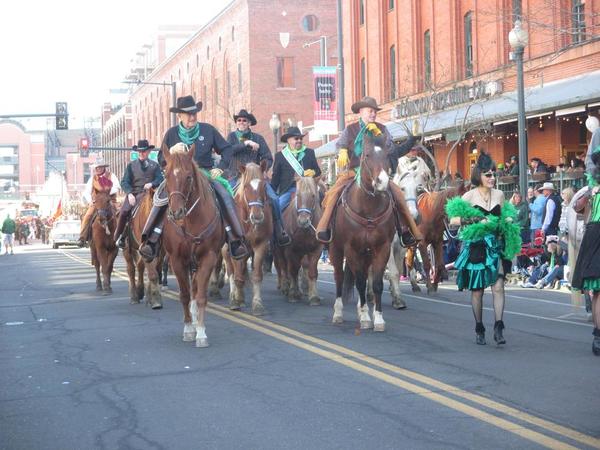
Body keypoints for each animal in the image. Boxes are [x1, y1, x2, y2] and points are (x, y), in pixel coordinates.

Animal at [161, 143, 224, 348]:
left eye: (188, 176)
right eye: (165, 175)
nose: (176, 212)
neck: (191, 221)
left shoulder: (208, 257)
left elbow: (201, 296)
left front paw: (201, 332)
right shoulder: (176, 260)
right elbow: (184, 295)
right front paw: (188, 329)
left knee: (196, 289)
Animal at [224, 161, 274, 312]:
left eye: (264, 185)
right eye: (246, 186)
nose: (257, 216)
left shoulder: (260, 245)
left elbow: (256, 275)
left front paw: (257, 303)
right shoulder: (235, 246)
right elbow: (237, 275)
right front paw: (236, 300)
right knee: (231, 270)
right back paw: (233, 295)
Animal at [274, 176, 324, 306]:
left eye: (313, 195)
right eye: (298, 195)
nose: (303, 221)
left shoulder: (316, 250)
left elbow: (312, 271)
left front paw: (314, 296)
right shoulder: (291, 250)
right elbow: (293, 271)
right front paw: (293, 294)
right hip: (279, 250)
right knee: (283, 267)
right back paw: (286, 288)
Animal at [330, 134, 396, 330]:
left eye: (387, 154)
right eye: (367, 155)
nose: (382, 181)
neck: (368, 210)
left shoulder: (382, 248)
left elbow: (377, 284)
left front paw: (378, 318)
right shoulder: (350, 249)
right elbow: (359, 282)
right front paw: (366, 318)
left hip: (366, 254)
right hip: (335, 250)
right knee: (339, 277)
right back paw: (338, 313)